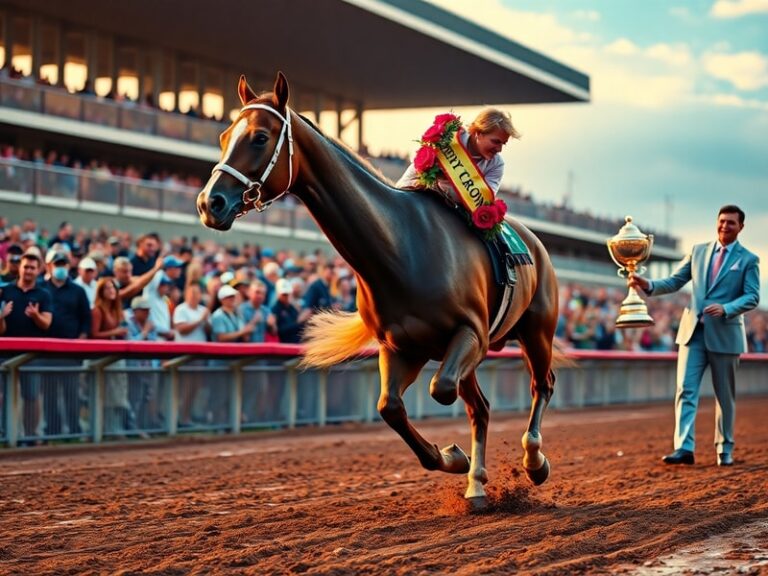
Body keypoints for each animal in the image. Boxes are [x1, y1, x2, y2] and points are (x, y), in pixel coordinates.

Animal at [197, 72, 562, 508]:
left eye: (259, 137)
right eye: (224, 136)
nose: (210, 203)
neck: (400, 246)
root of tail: (537, 243)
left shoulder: (469, 333)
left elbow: (439, 390)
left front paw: (468, 458)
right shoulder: (401, 346)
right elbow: (391, 408)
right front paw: (452, 456)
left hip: (536, 331)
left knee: (540, 385)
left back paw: (534, 461)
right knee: (481, 408)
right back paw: (475, 484)